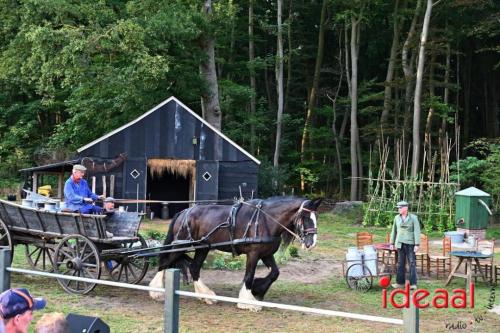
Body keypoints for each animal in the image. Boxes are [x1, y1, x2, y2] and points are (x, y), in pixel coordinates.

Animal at [149, 197, 320, 308]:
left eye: (315, 217)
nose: (311, 243)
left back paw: (206, 296)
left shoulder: (266, 254)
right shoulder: (253, 254)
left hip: (202, 248)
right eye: (305, 217)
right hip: (182, 245)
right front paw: (247, 301)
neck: (265, 220)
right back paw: (156, 292)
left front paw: (258, 291)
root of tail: (184, 212)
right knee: (164, 262)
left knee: (194, 268)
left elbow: (274, 273)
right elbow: (249, 276)